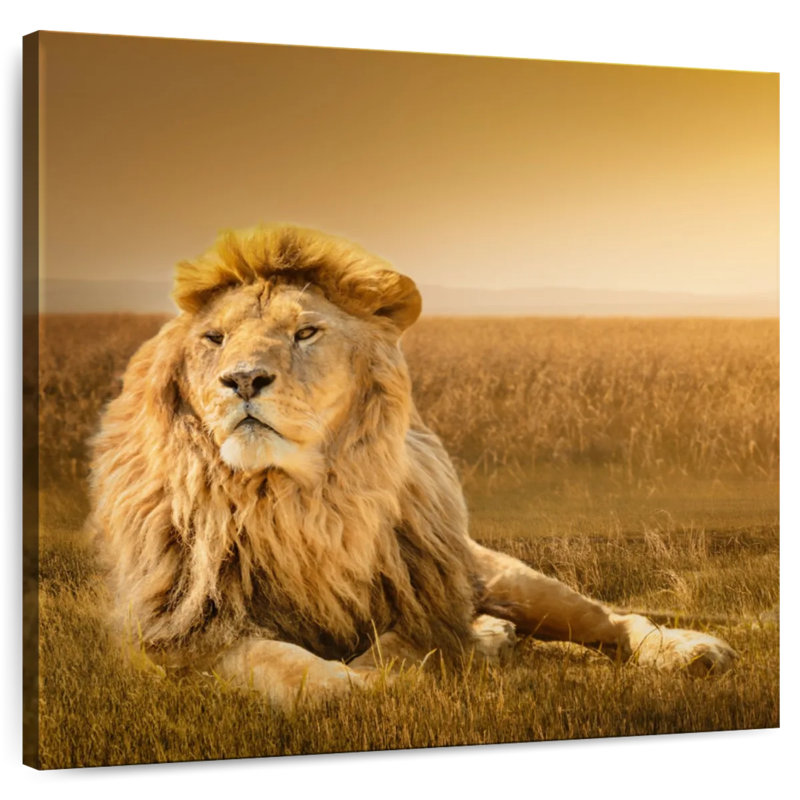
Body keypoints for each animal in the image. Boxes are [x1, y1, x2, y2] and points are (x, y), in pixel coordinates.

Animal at [89, 223, 736, 708]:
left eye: (306, 332)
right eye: (214, 339)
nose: (243, 379)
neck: (294, 499)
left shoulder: (422, 599)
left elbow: (408, 644)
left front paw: (409, 668)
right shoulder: (181, 631)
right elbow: (283, 665)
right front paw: (353, 684)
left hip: (505, 577)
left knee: (613, 620)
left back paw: (690, 651)